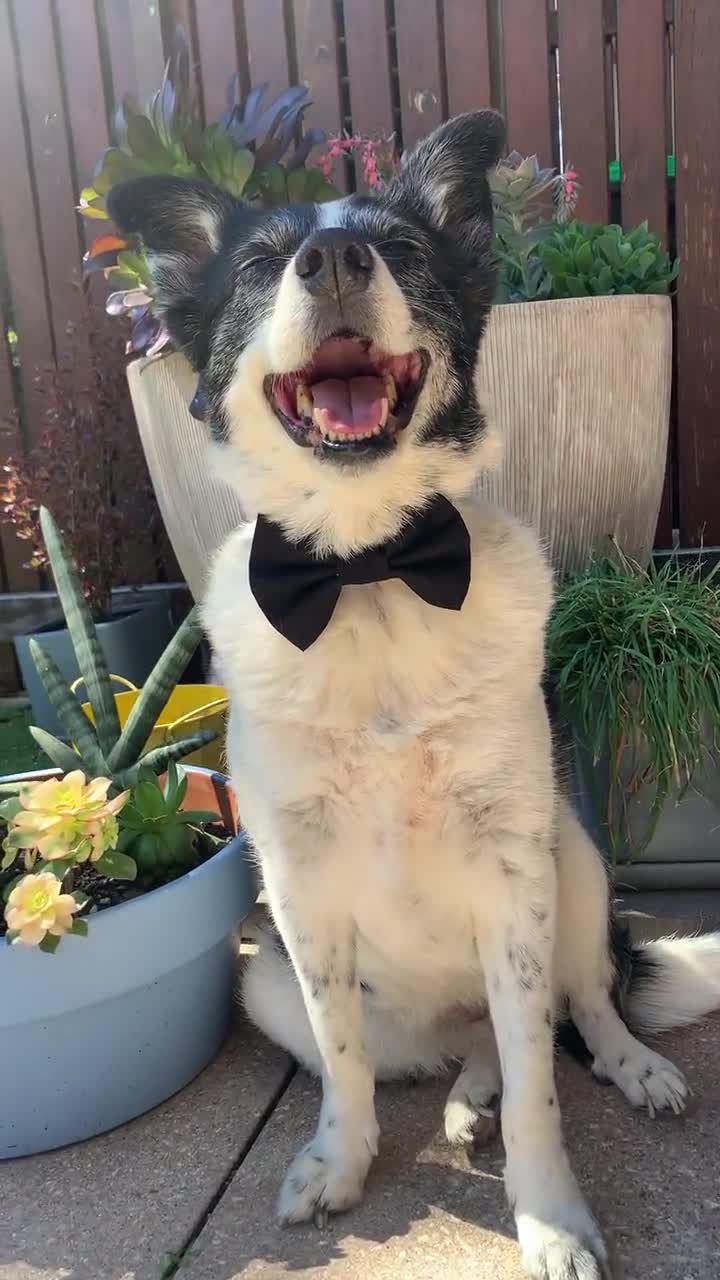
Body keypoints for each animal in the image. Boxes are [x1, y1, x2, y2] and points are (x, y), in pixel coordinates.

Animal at [109, 112, 717, 1280]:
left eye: (400, 247)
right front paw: (337, 1167)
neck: (366, 573)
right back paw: (461, 1098)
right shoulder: (299, 891)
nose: (336, 258)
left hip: (574, 859)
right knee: (454, 1049)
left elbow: (540, 1083)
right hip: (264, 980)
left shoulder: (517, 874)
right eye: (257, 265)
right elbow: (346, 1064)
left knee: (580, 1001)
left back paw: (624, 1067)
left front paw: (550, 1218)